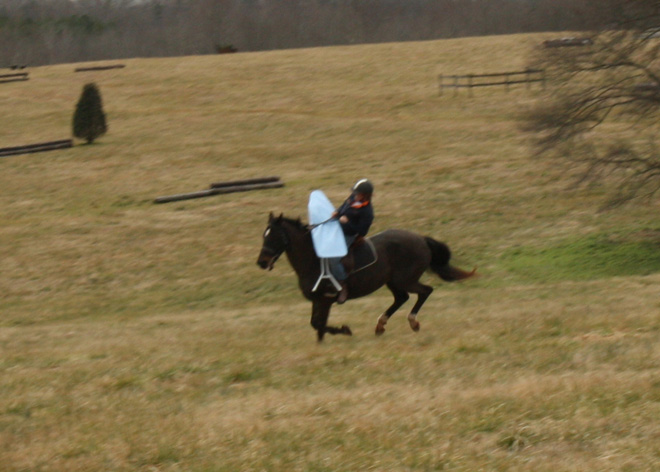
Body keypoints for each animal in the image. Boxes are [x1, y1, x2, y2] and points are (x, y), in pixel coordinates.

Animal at [254, 213, 474, 340]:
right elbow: (317, 324)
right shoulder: (318, 300)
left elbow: (319, 324)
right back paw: (380, 325)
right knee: (402, 298)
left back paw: (413, 322)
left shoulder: (325, 300)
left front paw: (344, 330)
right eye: (264, 235)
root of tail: (420, 238)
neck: (313, 259)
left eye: (274, 236)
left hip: (405, 280)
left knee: (425, 291)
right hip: (393, 282)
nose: (262, 262)